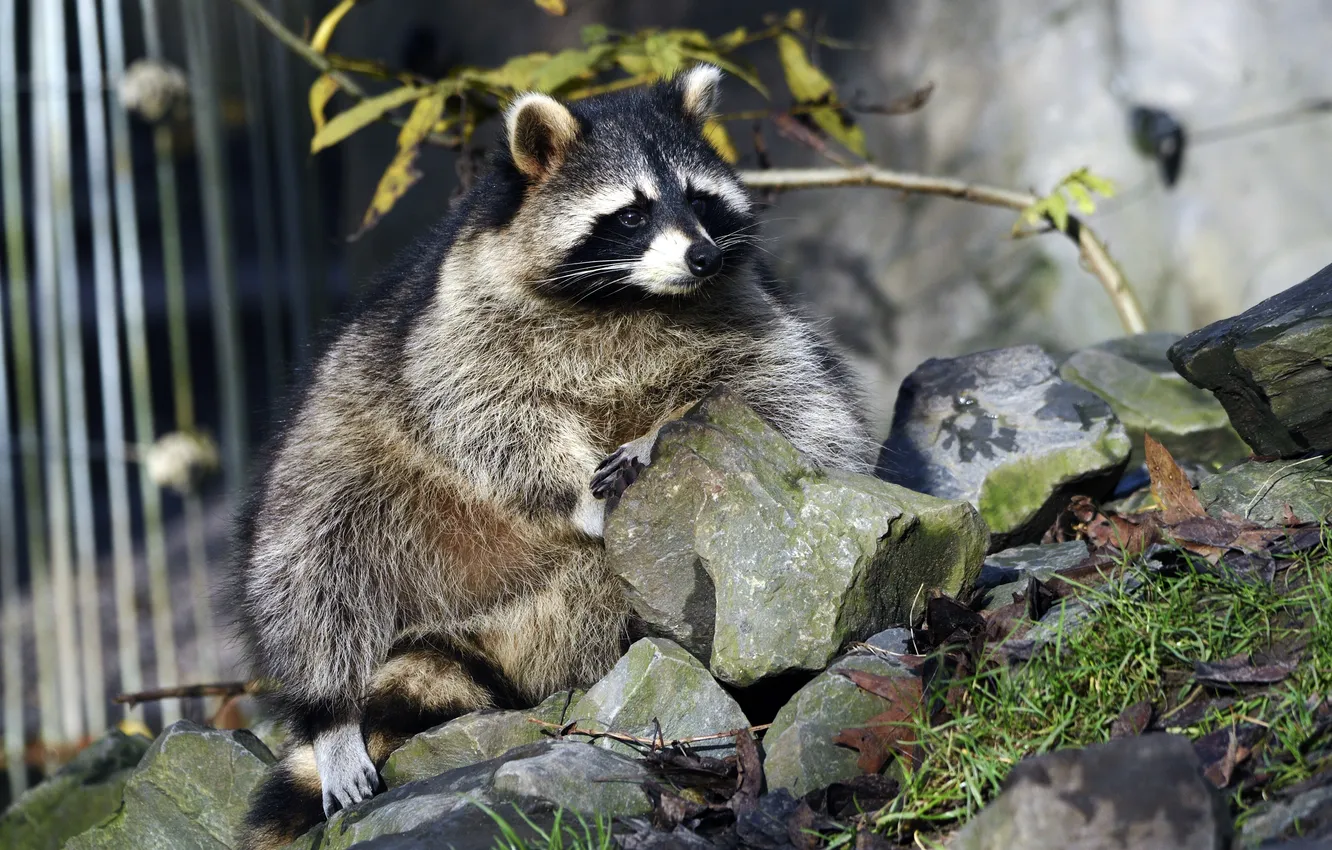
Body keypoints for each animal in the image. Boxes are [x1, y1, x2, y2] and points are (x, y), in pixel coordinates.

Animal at [234, 66, 873, 850]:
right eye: (630, 214)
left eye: (699, 201)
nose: (704, 256)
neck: (629, 297)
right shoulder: (459, 321)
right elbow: (483, 413)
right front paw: (577, 494)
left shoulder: (748, 311)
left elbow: (787, 401)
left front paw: (655, 434)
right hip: (338, 453)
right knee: (314, 553)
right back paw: (329, 705)